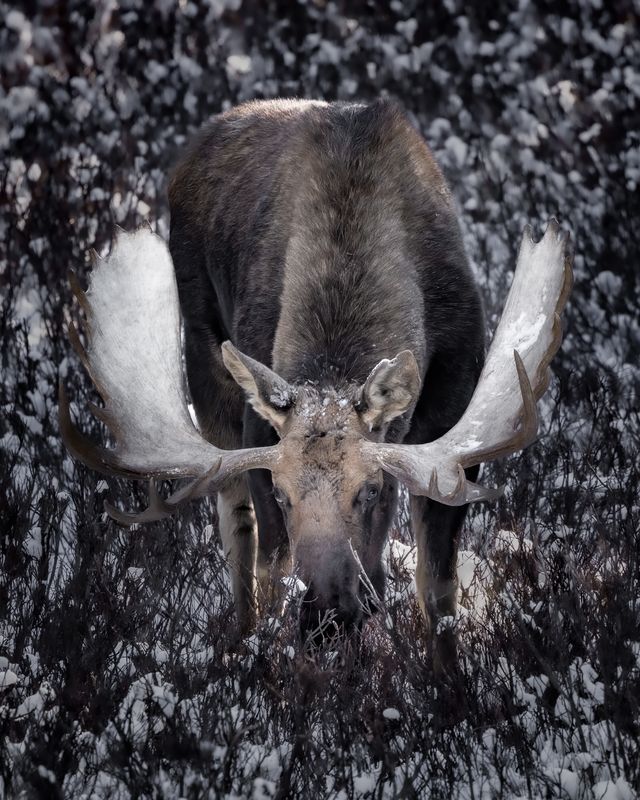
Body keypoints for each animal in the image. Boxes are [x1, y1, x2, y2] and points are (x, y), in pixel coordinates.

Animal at [59, 98, 572, 658]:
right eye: (284, 495)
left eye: (372, 490)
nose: (328, 613)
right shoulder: (259, 436)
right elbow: (272, 571)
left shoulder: (452, 431)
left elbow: (438, 591)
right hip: (204, 365)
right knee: (236, 525)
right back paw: (240, 642)